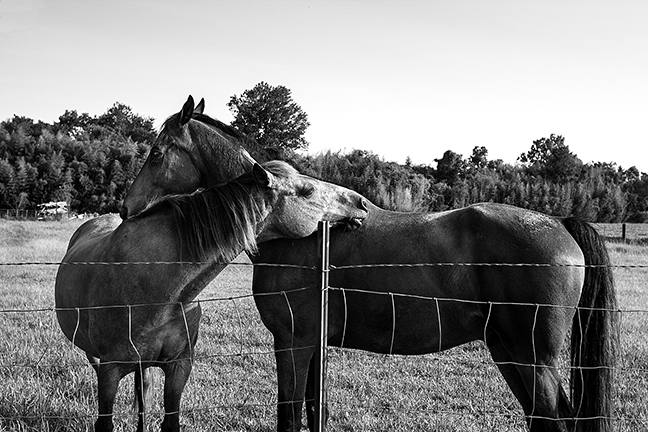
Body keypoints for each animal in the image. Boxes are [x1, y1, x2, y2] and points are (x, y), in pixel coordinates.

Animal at [55, 161, 368, 432]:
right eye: (307, 191)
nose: (361, 202)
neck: (154, 291)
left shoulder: (179, 367)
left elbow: (170, 421)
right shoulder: (109, 373)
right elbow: (104, 423)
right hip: (97, 360)